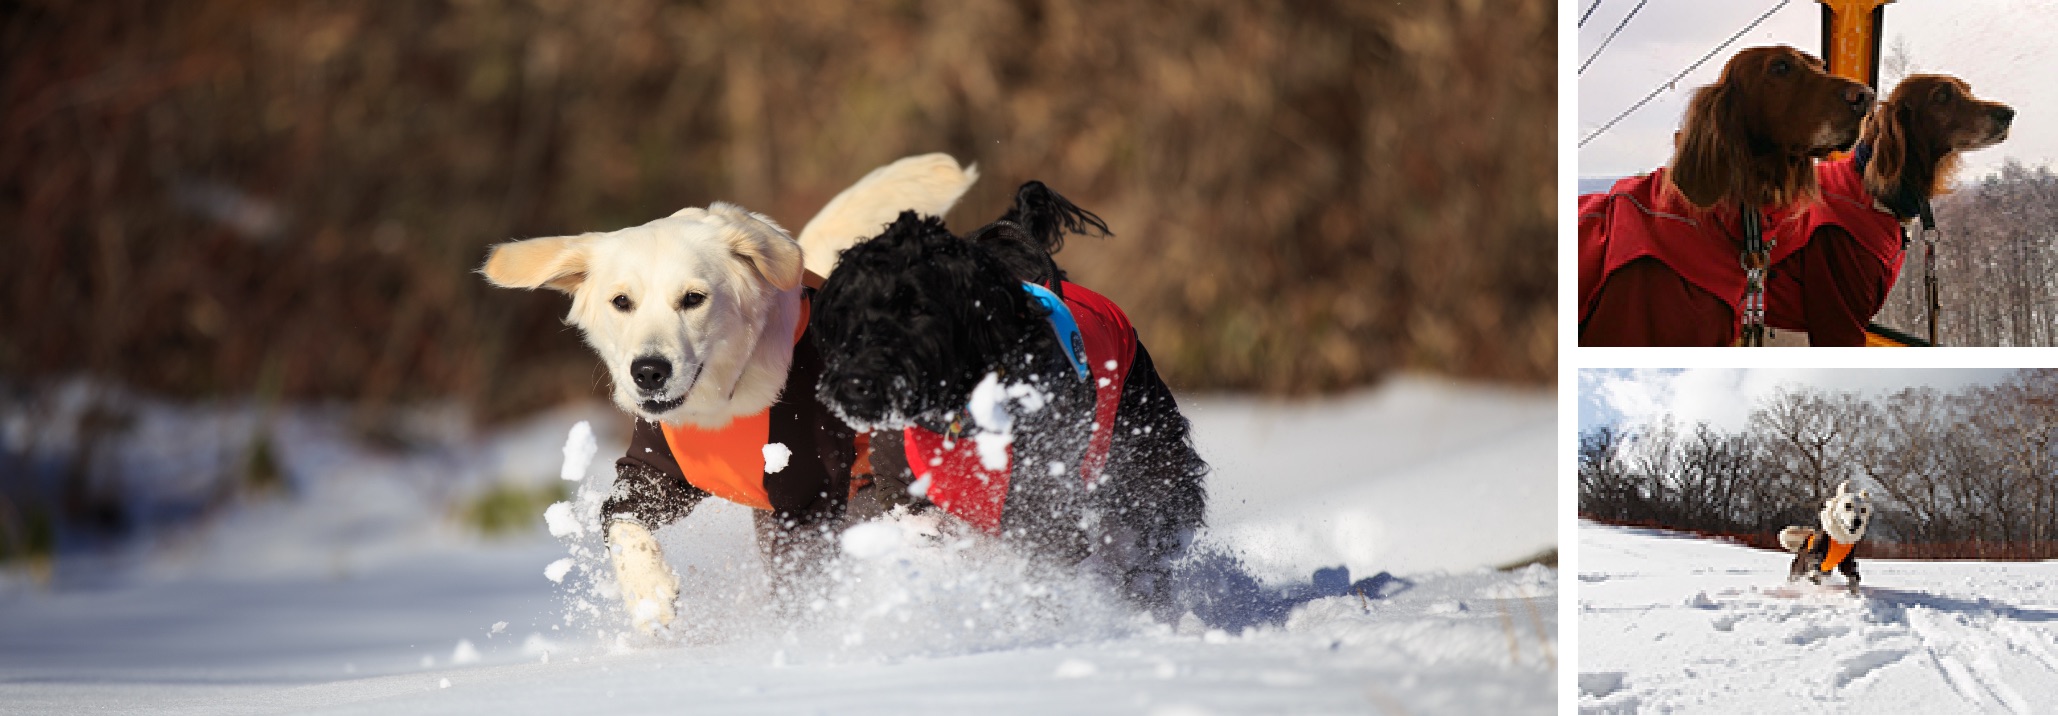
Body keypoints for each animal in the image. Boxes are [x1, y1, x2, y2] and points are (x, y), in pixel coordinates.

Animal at [477, 154, 975, 629]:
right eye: (622, 301)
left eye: (693, 298)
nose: (649, 372)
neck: (727, 401)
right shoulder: (658, 469)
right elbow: (620, 519)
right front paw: (649, 594)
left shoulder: (807, 494)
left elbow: (800, 586)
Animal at [810, 184, 1210, 609]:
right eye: (850, 310)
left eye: (918, 308)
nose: (857, 383)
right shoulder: (904, 488)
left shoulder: (1044, 501)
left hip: (1146, 448)